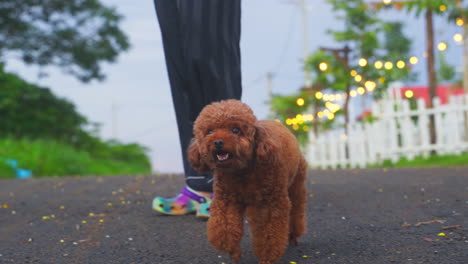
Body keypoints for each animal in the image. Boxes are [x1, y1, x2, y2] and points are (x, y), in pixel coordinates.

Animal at [187, 99, 308, 264]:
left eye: (235, 130)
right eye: (210, 131)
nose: (218, 142)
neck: (242, 171)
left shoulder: (269, 204)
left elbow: (268, 235)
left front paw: (267, 257)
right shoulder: (227, 200)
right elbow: (226, 228)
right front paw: (232, 250)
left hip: (296, 185)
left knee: (296, 211)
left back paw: (294, 236)